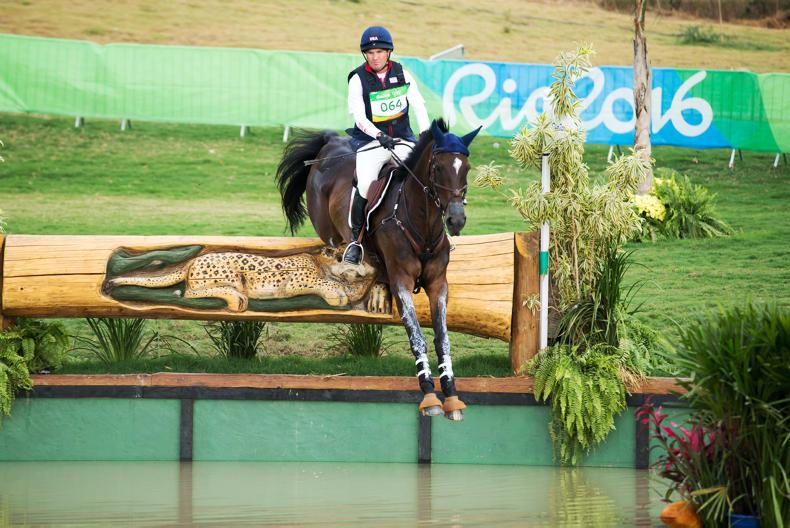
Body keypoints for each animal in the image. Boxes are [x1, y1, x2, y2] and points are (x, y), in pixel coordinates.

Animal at [276, 120, 481, 420]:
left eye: (465, 168)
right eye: (438, 168)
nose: (456, 219)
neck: (422, 222)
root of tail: (331, 141)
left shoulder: (437, 284)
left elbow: (442, 338)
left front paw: (451, 394)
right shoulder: (401, 281)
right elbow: (417, 336)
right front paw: (429, 394)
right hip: (329, 229)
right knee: (337, 245)